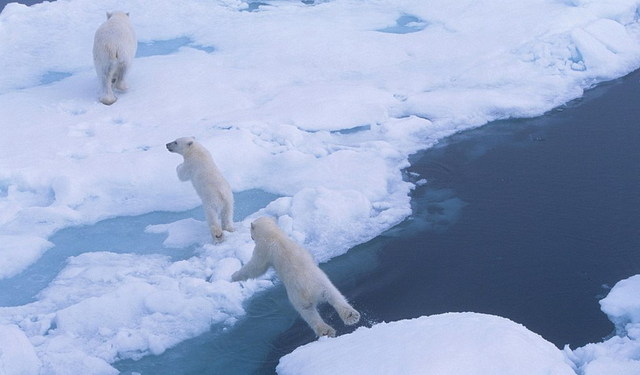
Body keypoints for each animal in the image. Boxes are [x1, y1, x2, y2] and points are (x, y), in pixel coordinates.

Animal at [231, 217, 360, 338]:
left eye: (251, 231)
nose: (251, 237)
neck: (274, 235)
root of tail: (309, 291)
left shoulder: (262, 249)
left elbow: (255, 267)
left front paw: (234, 276)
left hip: (298, 295)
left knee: (311, 312)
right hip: (318, 288)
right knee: (330, 300)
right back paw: (342, 321)